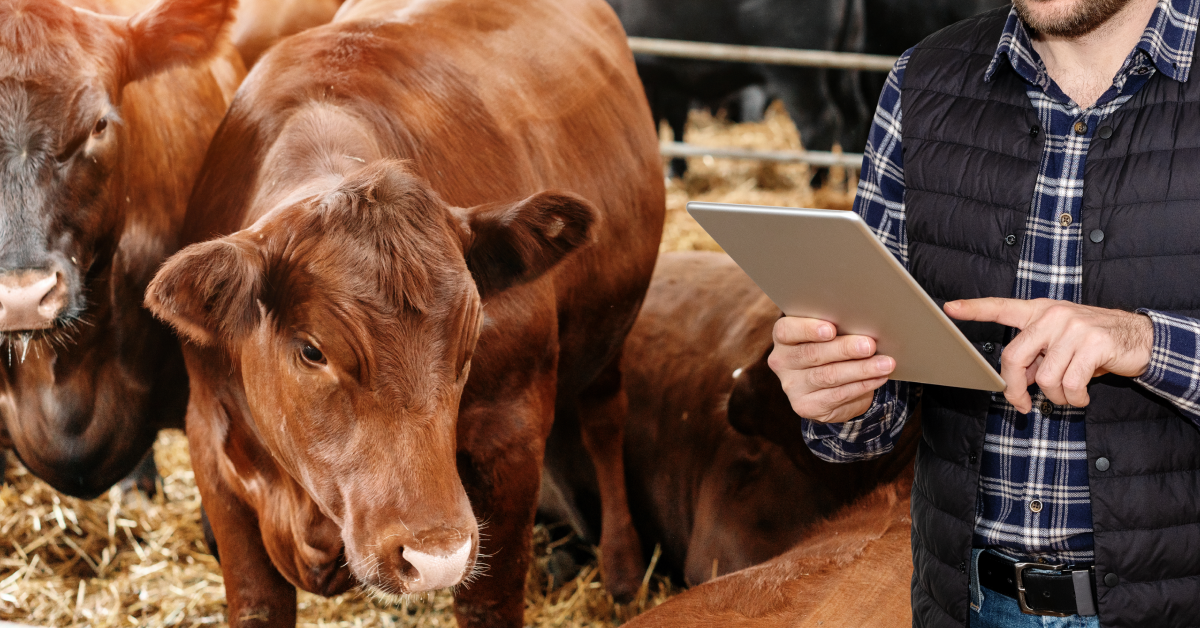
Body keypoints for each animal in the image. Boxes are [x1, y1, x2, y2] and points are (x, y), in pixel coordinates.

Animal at [146, 0, 667, 624]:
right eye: (311, 351)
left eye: (472, 338)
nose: (436, 557)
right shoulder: (212, 444)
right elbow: (255, 602)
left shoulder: (511, 438)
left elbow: (489, 602)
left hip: (612, 333)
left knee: (605, 421)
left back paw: (623, 571)